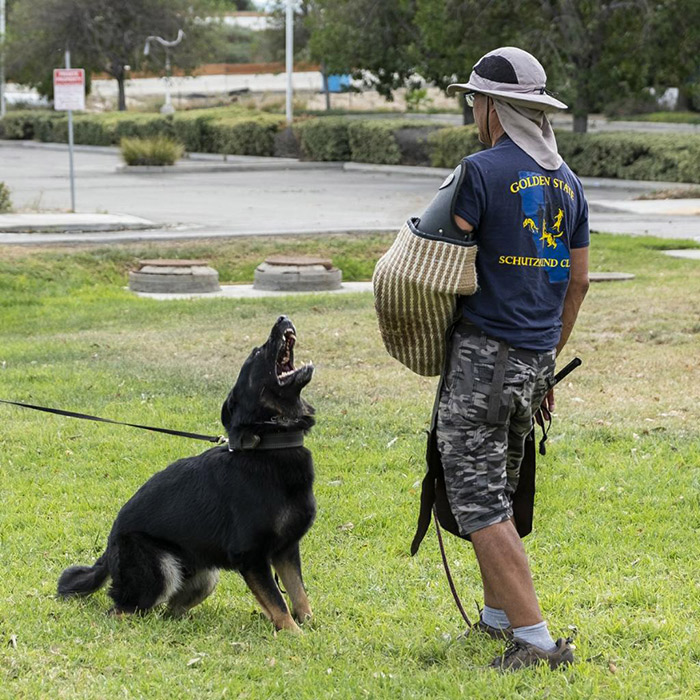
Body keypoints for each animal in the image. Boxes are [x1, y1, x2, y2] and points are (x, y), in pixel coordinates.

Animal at [57, 314, 314, 632]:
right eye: (257, 352)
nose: (282, 317)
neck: (268, 442)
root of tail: (109, 546)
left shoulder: (286, 550)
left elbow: (298, 592)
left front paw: (311, 625)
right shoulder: (252, 556)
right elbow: (277, 602)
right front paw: (293, 633)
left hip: (206, 577)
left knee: (168, 609)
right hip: (159, 572)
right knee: (123, 610)